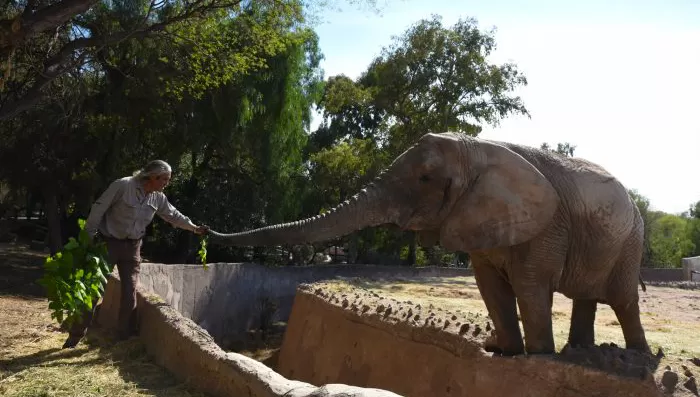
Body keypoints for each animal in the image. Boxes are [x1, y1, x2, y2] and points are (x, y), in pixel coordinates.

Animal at [208, 131, 652, 354]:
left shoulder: (547, 225)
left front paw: (539, 359)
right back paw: (581, 353)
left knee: (623, 299)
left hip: (632, 240)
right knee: (588, 297)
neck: (482, 147)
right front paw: (503, 351)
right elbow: (489, 287)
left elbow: (528, 286)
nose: (204, 229)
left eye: (424, 178)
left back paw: (634, 357)